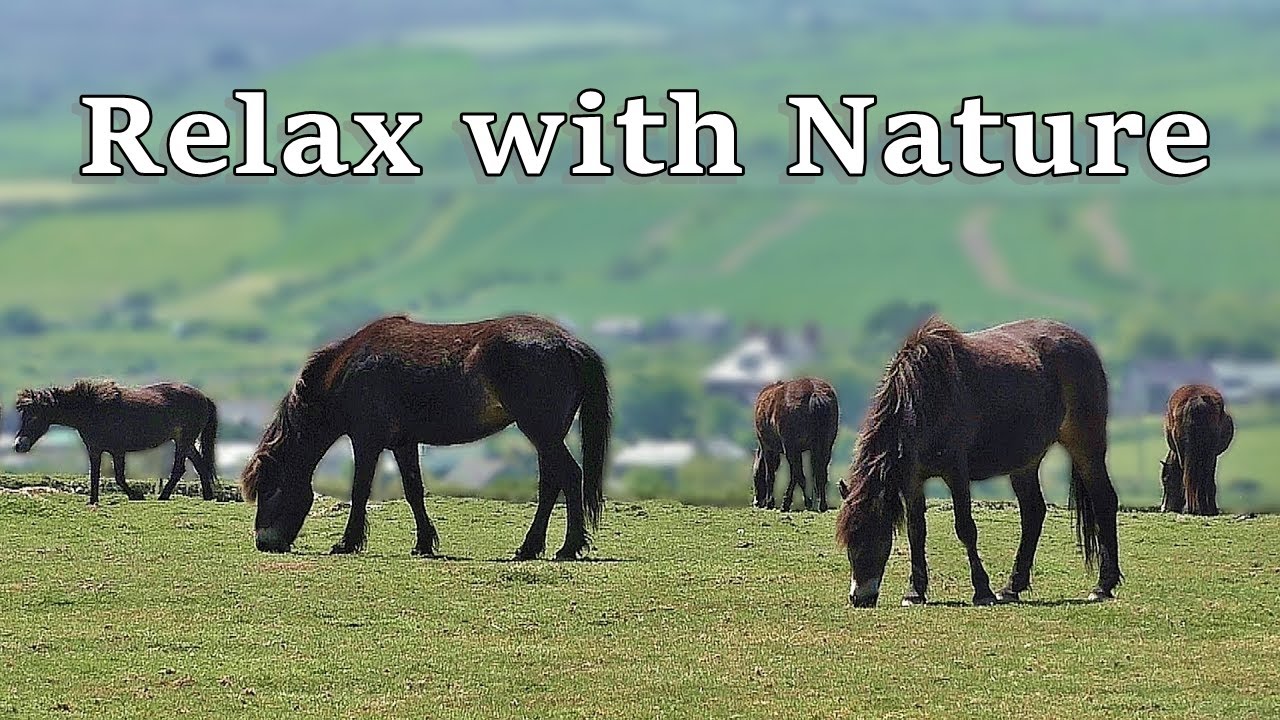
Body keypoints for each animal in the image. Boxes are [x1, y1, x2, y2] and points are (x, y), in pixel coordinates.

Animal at [13, 380, 219, 504]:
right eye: (24, 416)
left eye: (34, 416)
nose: (18, 445)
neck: (93, 409)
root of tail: (204, 398)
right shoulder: (95, 449)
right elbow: (94, 475)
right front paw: (93, 500)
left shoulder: (117, 450)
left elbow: (119, 476)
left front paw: (136, 495)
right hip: (186, 441)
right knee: (201, 466)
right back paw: (208, 497)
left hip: (184, 440)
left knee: (179, 469)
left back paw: (163, 496)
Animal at [241, 314, 612, 560]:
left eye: (270, 488)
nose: (264, 542)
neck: (346, 371)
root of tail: (567, 343)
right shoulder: (403, 444)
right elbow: (413, 491)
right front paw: (423, 543)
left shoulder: (366, 441)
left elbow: (360, 490)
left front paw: (347, 542)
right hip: (548, 434)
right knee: (551, 484)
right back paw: (529, 547)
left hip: (541, 431)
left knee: (569, 476)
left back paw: (568, 547)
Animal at [751, 377, 839, 512]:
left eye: (755, 476)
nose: (756, 502)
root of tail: (815, 394)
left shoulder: (768, 448)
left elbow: (770, 475)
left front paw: (770, 502)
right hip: (825, 445)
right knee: (820, 474)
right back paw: (821, 504)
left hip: (791, 447)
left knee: (798, 475)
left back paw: (793, 503)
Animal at [835, 317, 1122, 608]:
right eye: (849, 543)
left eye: (874, 537)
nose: (859, 597)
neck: (924, 400)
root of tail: (1083, 344)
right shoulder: (913, 480)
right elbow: (917, 531)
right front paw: (914, 592)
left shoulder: (956, 473)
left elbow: (965, 528)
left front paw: (982, 590)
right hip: (1024, 463)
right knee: (1033, 513)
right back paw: (1011, 588)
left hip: (1086, 446)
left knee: (1105, 501)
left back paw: (1103, 586)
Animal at [1160, 384, 1234, 516]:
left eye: (1166, 480)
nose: (1165, 508)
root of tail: (1195, 399)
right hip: (1208, 455)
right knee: (1203, 479)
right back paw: (1206, 509)